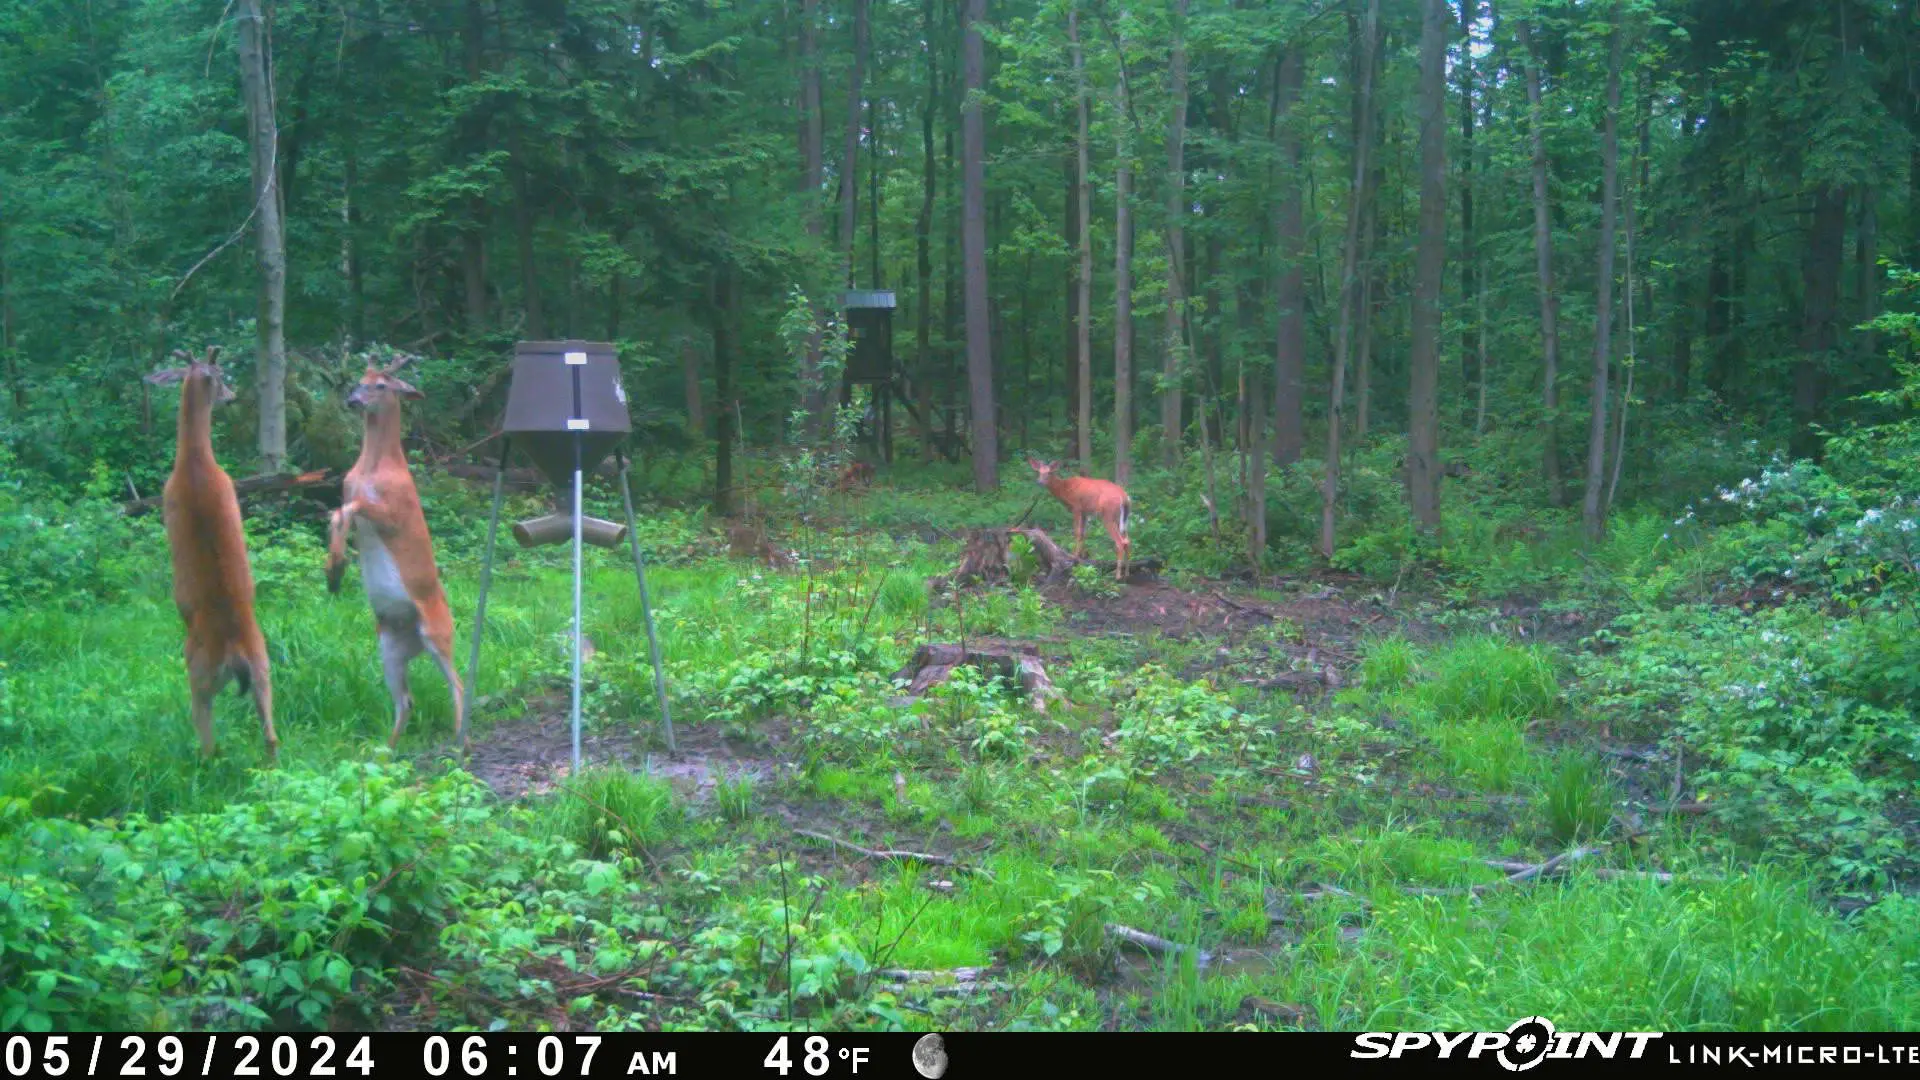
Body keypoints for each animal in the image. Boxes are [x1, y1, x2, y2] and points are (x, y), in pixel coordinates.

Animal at [143, 347, 279, 761]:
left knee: (206, 736)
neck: (194, 461)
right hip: (264, 664)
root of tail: (235, 653)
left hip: (198, 670)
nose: (232, 397)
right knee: (271, 735)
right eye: (223, 378)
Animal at [326, 350, 467, 751]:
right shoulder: (348, 493)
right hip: (388, 645)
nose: (352, 400)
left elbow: (351, 509)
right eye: (359, 381)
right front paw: (333, 570)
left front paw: (336, 567)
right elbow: (338, 514)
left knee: (458, 683)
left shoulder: (393, 512)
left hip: (438, 632)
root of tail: (413, 639)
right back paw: (386, 749)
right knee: (406, 699)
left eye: (382, 385)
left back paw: (459, 740)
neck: (371, 470)